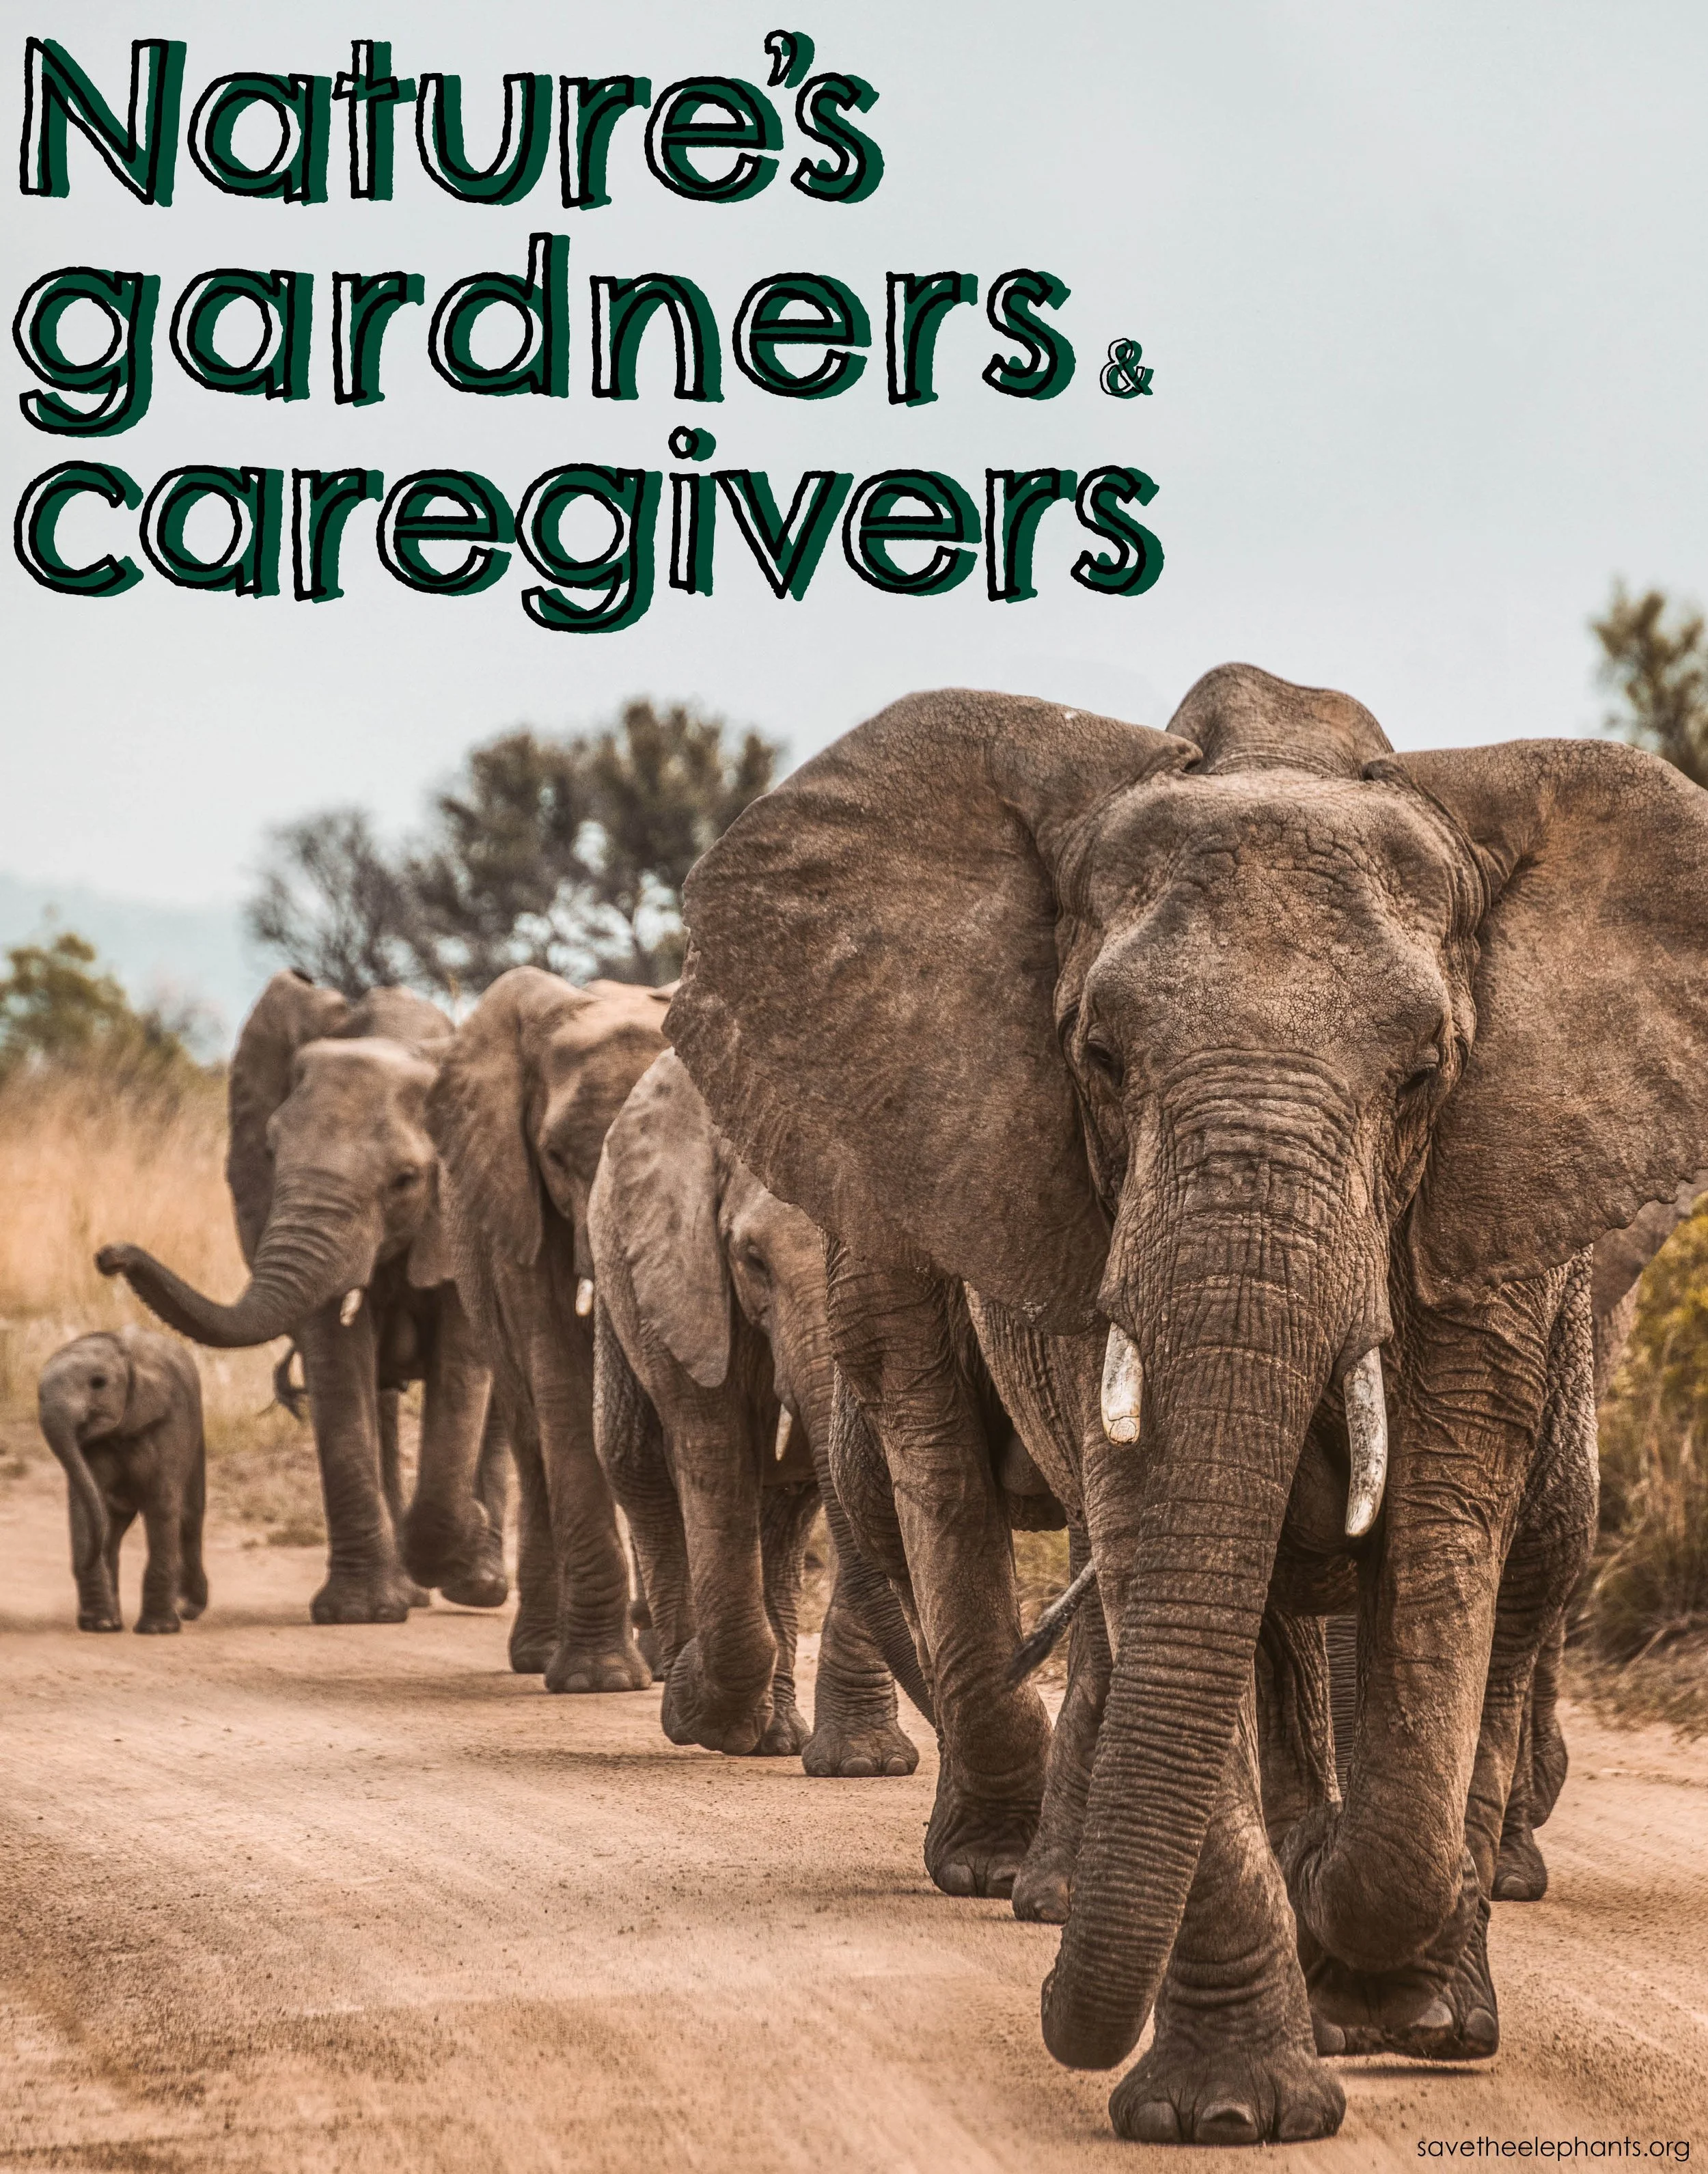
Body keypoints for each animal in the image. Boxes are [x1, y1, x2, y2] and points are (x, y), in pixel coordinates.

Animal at [38, 1326, 206, 1633]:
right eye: (39, 1396)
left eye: (98, 1383)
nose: (83, 1562)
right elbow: (86, 1503)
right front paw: (100, 1625)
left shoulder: (171, 1421)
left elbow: (162, 1502)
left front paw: (157, 1630)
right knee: (113, 1527)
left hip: (197, 1435)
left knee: (190, 1516)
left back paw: (187, 1610)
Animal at [97, 972, 502, 1626]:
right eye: (269, 1153)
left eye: (406, 1180)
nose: (109, 1254)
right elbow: (336, 1363)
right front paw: (360, 1613)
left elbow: (463, 1366)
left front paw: (460, 1540)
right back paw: (414, 1589)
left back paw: (480, 1585)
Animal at [425, 968, 673, 1690]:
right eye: (558, 1157)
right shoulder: (518, 1202)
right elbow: (561, 1376)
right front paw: (600, 1681)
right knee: (533, 1436)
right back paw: (540, 1655)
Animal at [587, 1047, 933, 1770]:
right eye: (752, 1260)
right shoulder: (685, 1273)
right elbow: (713, 1451)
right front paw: (697, 1710)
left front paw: (865, 1766)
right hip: (619, 1277)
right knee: (637, 1465)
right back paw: (695, 1701)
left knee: (787, 1509)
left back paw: (773, 1738)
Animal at [665, 669, 1708, 2145]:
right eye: (1098, 1058)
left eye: (1424, 1076)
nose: (1059, 2018)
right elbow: (1160, 1537)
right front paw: (1228, 2113)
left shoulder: (1491, 1222)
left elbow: (1441, 1553)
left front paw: (1381, 1984)